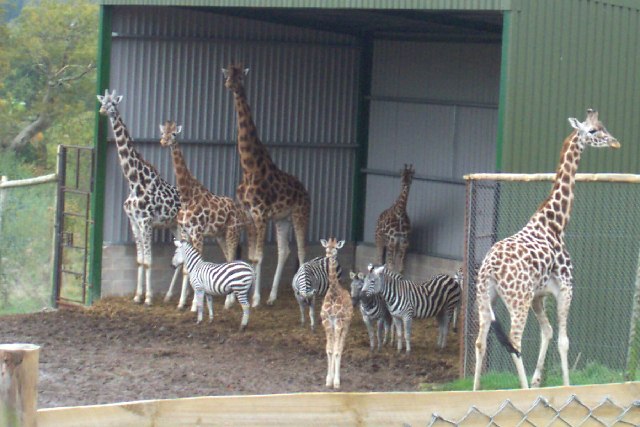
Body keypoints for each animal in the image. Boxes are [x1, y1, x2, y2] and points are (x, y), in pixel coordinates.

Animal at [97, 89, 182, 306]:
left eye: (113, 103)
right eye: (102, 101)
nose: (102, 111)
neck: (135, 181)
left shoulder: (146, 221)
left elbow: (149, 261)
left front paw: (149, 298)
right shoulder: (134, 222)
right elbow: (140, 260)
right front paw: (137, 296)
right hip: (175, 227)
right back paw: (171, 297)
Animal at [159, 120, 246, 310]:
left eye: (174, 134)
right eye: (163, 133)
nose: (163, 142)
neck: (187, 197)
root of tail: (241, 211)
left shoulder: (197, 233)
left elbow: (193, 266)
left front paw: (193, 305)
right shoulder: (186, 233)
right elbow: (186, 268)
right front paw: (181, 303)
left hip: (232, 232)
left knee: (232, 258)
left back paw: (229, 302)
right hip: (220, 235)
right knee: (228, 258)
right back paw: (228, 299)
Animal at [222, 64, 311, 307]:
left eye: (240, 76)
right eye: (227, 73)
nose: (229, 85)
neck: (249, 167)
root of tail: (306, 190)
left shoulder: (260, 214)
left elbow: (258, 257)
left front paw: (254, 299)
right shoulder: (249, 215)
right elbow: (251, 255)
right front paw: (237, 298)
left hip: (300, 214)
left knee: (301, 249)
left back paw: (303, 292)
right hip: (282, 219)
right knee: (284, 250)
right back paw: (272, 296)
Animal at [473, 109, 620, 390]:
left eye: (604, 126)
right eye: (594, 131)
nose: (615, 142)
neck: (555, 223)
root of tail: (489, 269)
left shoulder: (539, 295)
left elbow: (548, 332)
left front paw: (539, 380)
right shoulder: (565, 288)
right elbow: (563, 341)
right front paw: (565, 386)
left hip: (486, 299)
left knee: (480, 341)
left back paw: (476, 392)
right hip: (517, 299)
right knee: (514, 341)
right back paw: (522, 390)